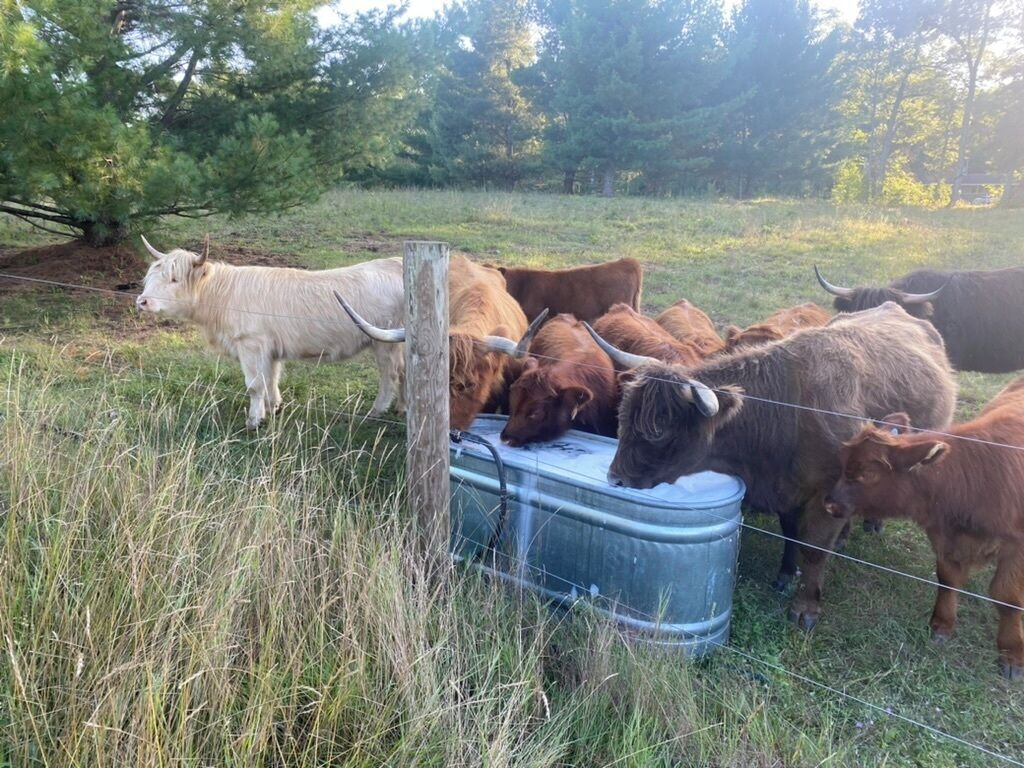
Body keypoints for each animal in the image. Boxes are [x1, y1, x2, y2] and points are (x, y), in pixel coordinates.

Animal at [135, 236, 405, 429]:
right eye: (150, 276)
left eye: (174, 279)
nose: (142, 301)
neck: (222, 297)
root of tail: (396, 262)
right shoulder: (269, 350)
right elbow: (271, 379)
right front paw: (274, 408)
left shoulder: (251, 345)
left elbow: (255, 385)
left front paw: (254, 421)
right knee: (403, 372)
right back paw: (402, 408)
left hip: (385, 341)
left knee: (390, 374)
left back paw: (376, 411)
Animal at [587, 302, 957, 630]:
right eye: (623, 418)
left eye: (658, 430)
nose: (615, 478)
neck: (787, 410)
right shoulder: (788, 488)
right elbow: (791, 533)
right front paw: (785, 575)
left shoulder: (825, 494)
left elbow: (814, 549)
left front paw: (805, 608)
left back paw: (872, 524)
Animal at [825, 378, 1024, 680]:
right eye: (842, 463)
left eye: (867, 474)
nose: (829, 504)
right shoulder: (944, 538)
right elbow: (947, 579)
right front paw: (942, 625)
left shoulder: (1016, 548)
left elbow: (1007, 595)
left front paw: (1012, 653)